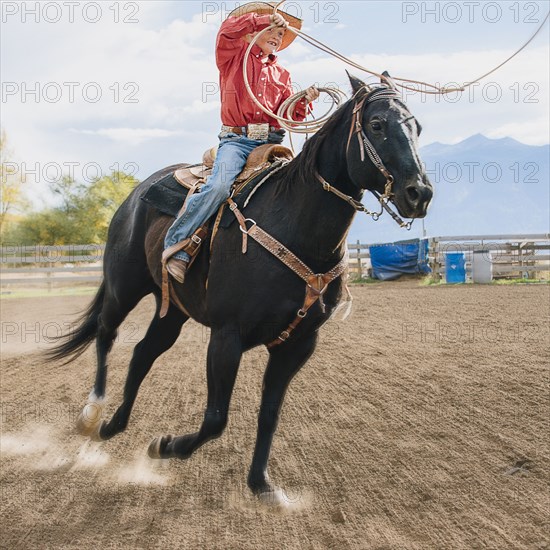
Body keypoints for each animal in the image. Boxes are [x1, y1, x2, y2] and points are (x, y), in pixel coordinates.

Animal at [48, 74, 436, 504]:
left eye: (417, 127)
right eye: (377, 124)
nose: (419, 193)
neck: (296, 224)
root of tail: (136, 194)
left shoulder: (298, 345)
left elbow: (269, 415)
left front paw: (261, 484)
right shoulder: (226, 335)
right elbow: (216, 419)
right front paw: (166, 446)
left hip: (173, 310)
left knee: (143, 353)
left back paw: (114, 425)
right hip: (124, 286)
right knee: (106, 332)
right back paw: (92, 413)